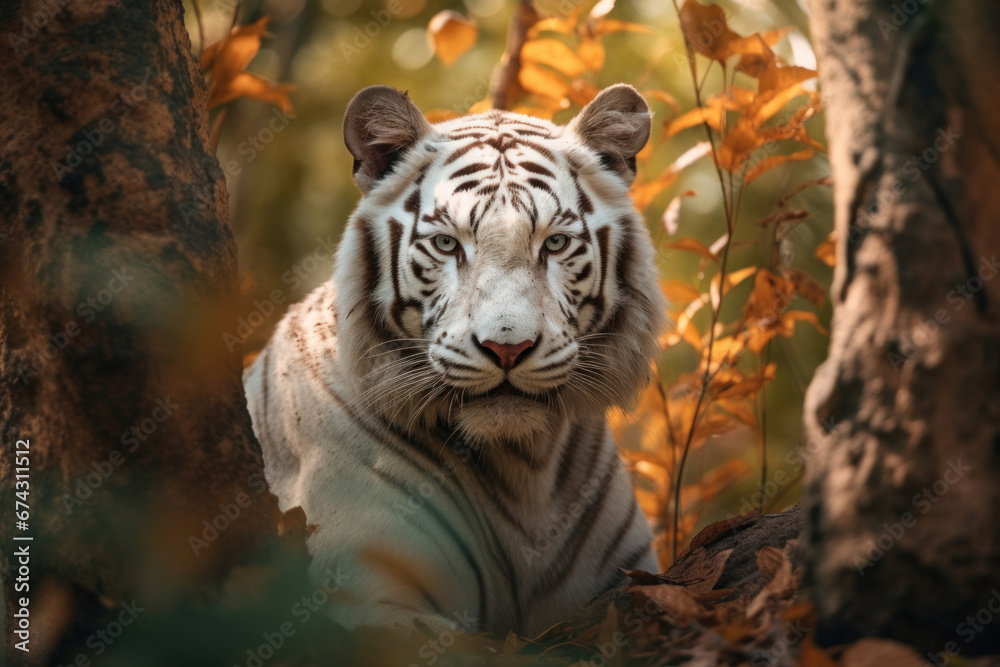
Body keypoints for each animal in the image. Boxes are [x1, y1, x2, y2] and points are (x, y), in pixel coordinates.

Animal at [241, 83, 664, 636]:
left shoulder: (629, 577)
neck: (526, 473)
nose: (508, 348)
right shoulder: (367, 598)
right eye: (446, 243)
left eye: (555, 243)